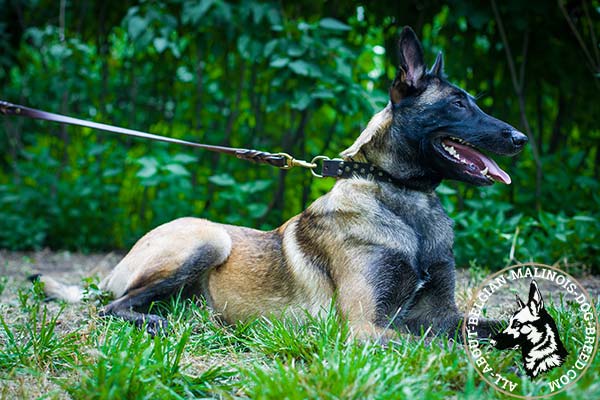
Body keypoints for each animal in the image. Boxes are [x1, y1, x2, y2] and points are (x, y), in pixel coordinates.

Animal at [35, 26, 528, 342]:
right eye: (458, 104)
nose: (521, 139)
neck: (401, 198)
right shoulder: (365, 327)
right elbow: (434, 350)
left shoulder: (443, 315)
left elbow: (487, 330)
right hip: (209, 239)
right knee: (110, 307)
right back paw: (158, 322)